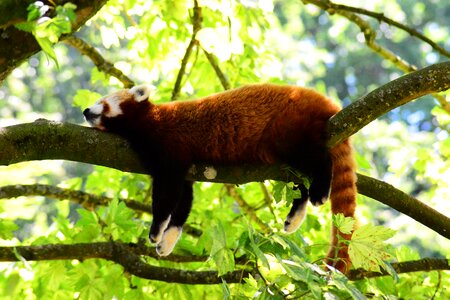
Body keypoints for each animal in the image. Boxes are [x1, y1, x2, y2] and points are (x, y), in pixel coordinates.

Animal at [82, 83, 356, 274]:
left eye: (102, 102)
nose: (85, 111)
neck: (147, 121)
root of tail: (320, 99)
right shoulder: (185, 169)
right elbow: (184, 200)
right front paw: (168, 240)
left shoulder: (169, 148)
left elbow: (167, 193)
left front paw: (156, 231)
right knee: (297, 180)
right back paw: (296, 215)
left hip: (288, 126)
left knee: (318, 159)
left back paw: (320, 189)